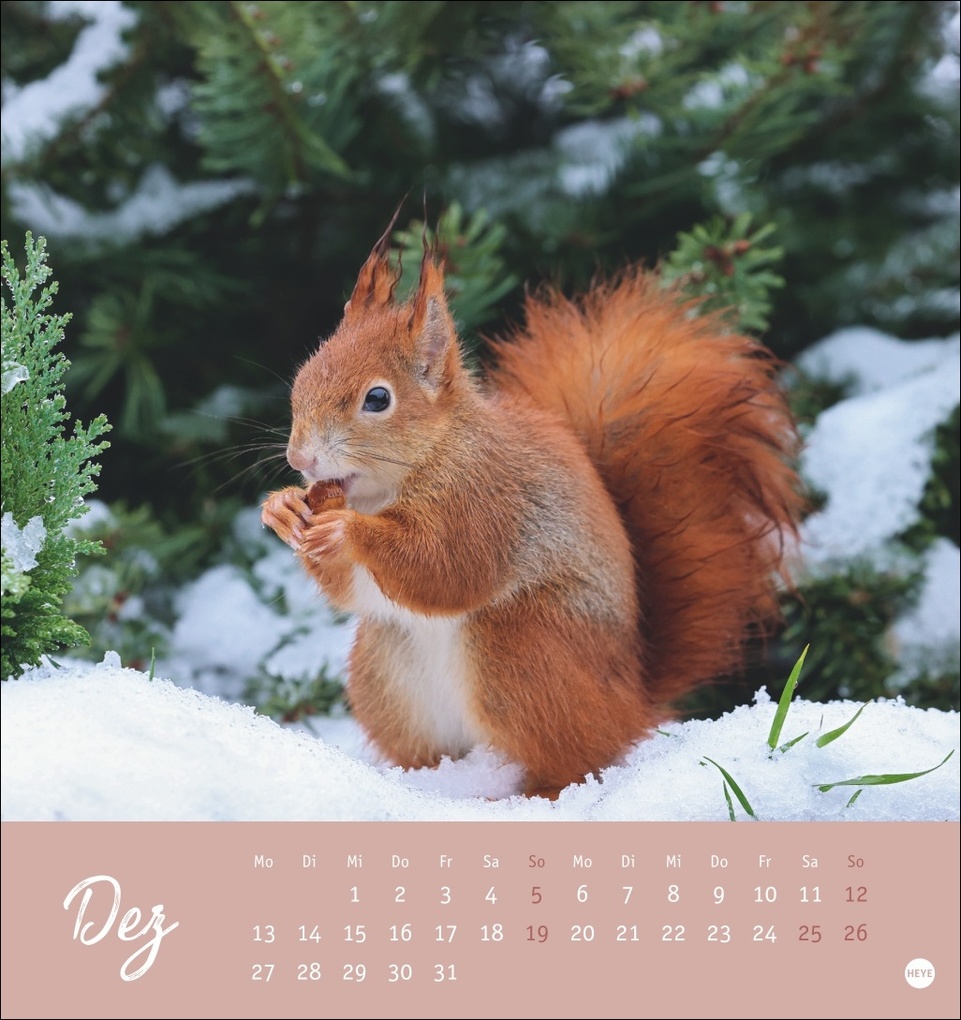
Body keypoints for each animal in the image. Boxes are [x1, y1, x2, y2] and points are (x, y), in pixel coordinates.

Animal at [261, 223, 802, 799]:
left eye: (378, 399)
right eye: (304, 376)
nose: (300, 458)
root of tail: (634, 698)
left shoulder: (488, 499)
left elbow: (447, 570)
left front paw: (347, 529)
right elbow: (353, 590)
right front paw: (283, 508)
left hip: (523, 649)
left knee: (578, 756)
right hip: (386, 677)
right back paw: (429, 783)